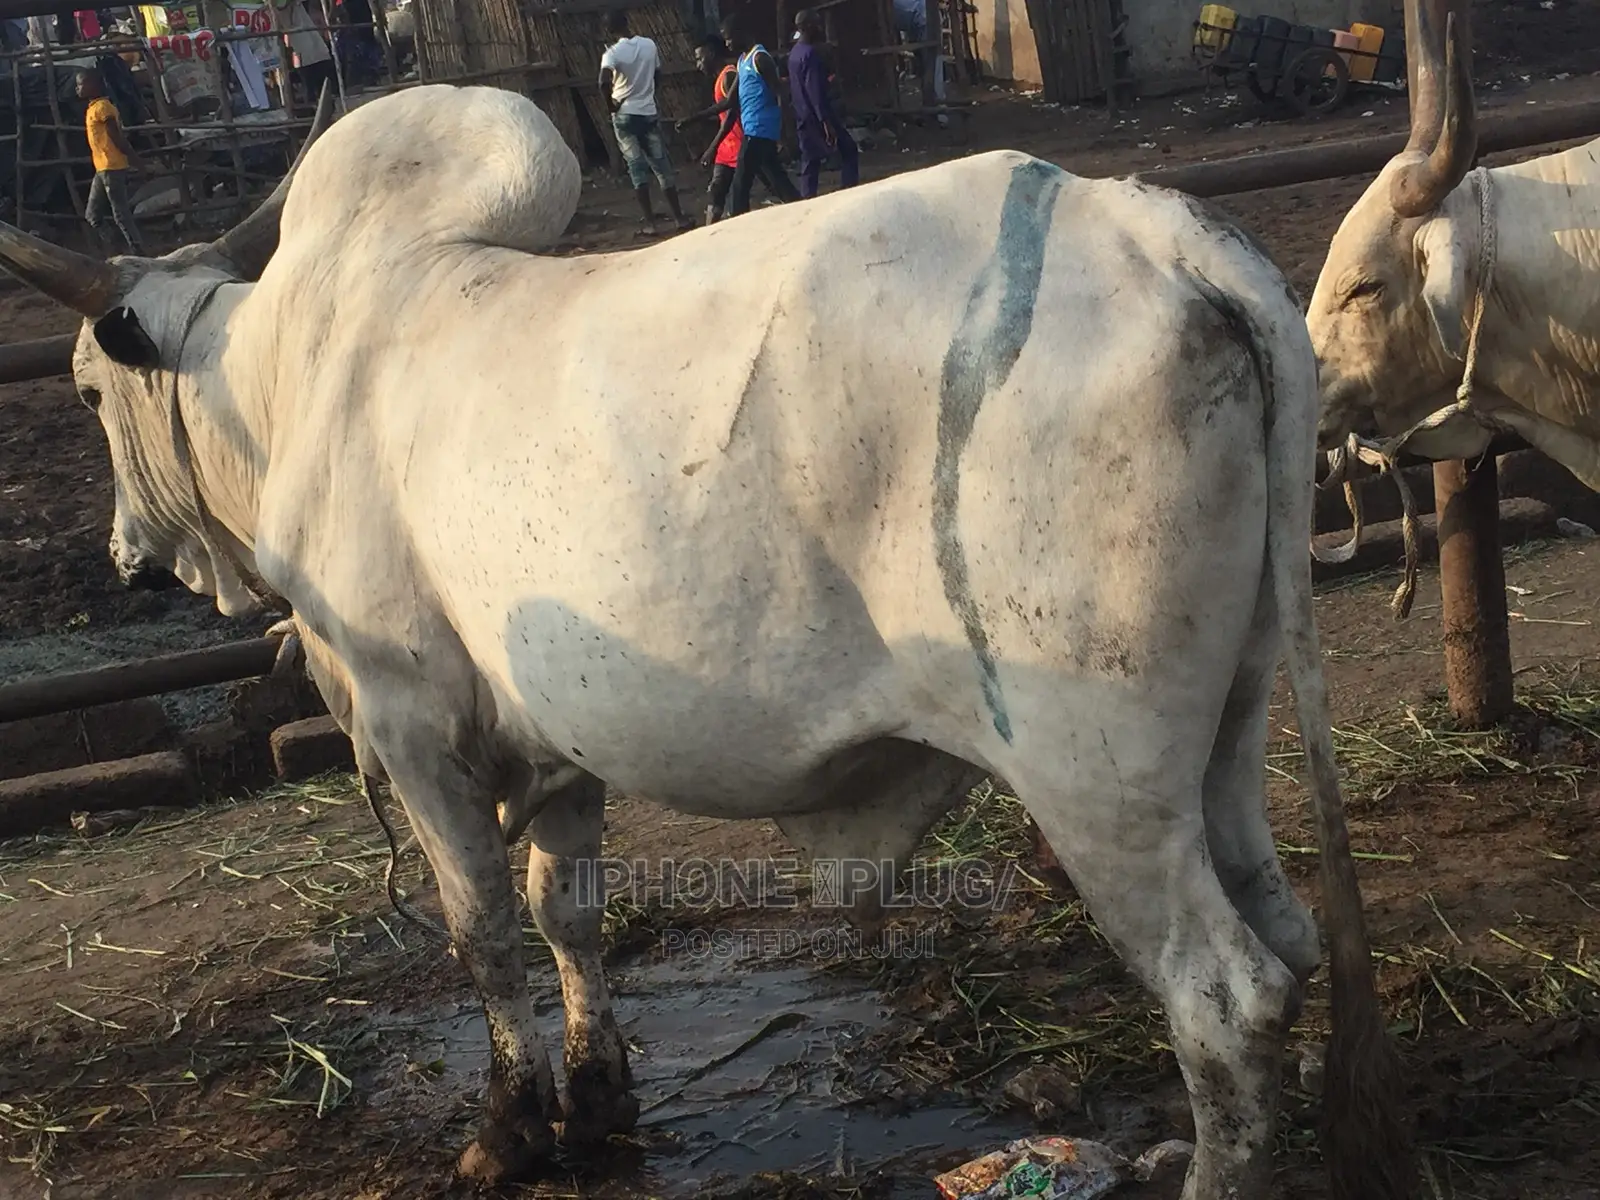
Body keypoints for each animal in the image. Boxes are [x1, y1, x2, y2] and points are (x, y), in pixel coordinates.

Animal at [0, 83, 1410, 1199]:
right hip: (1227, 725)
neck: (293, 373)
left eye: (83, 388)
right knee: (1286, 935)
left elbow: (480, 929)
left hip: (1094, 769)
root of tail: (1157, 233)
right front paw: (597, 1096)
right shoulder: (557, 741)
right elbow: (564, 913)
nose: (127, 555)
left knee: (1223, 1000)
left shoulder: (412, 721)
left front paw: (509, 1131)